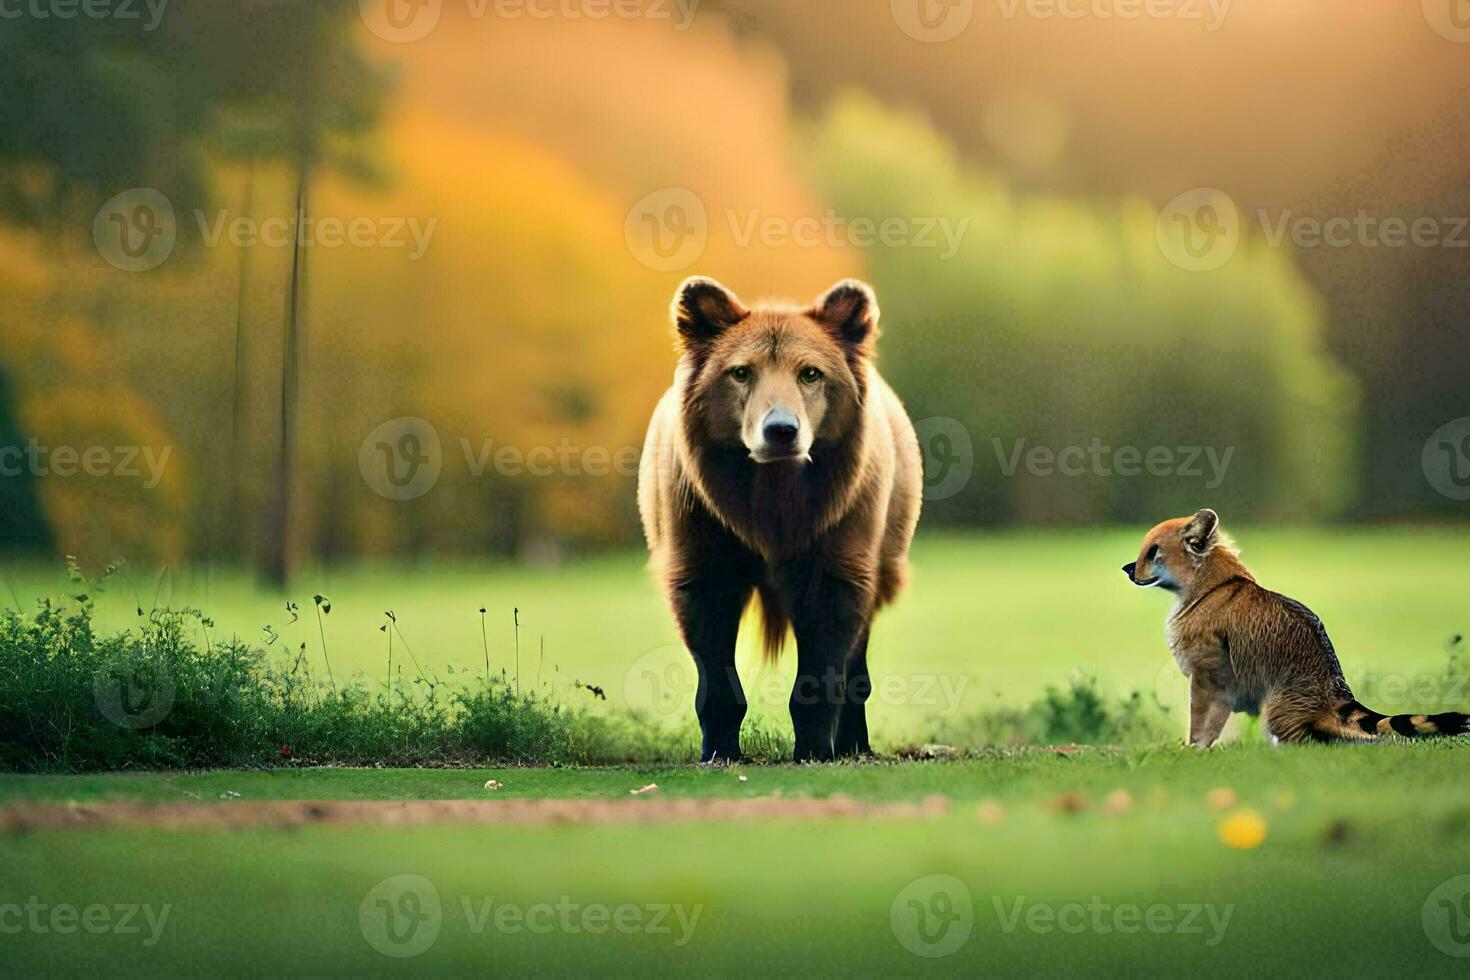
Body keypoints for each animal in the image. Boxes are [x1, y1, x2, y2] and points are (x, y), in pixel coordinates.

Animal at [640, 279, 917, 764]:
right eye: (740, 371)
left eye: (811, 373)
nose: (781, 429)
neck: (771, 500)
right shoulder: (702, 528)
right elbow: (711, 645)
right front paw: (720, 749)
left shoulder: (840, 535)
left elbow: (827, 654)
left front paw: (814, 748)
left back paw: (854, 743)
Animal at [1117, 511, 1464, 746]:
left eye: (1153, 551)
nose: (1128, 569)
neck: (1207, 582)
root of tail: (1337, 695)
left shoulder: (1210, 673)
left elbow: (1203, 720)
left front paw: (1196, 749)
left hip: (1276, 706)